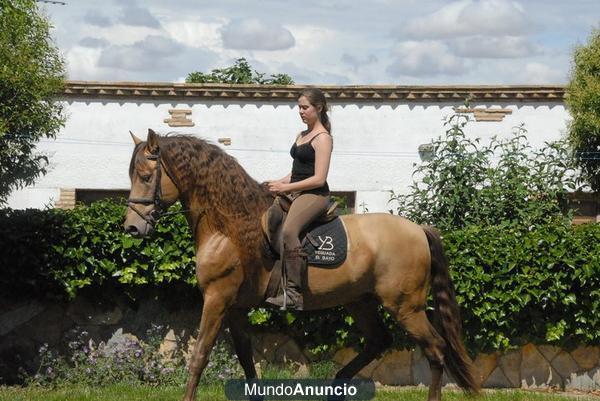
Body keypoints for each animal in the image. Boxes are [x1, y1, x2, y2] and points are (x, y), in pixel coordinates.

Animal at [124, 130, 480, 398]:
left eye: (145, 176)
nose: (132, 228)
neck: (230, 227)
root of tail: (419, 229)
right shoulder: (236, 307)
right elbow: (247, 362)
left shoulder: (217, 298)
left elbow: (199, 357)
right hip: (360, 301)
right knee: (380, 340)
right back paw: (338, 382)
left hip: (406, 307)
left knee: (436, 349)